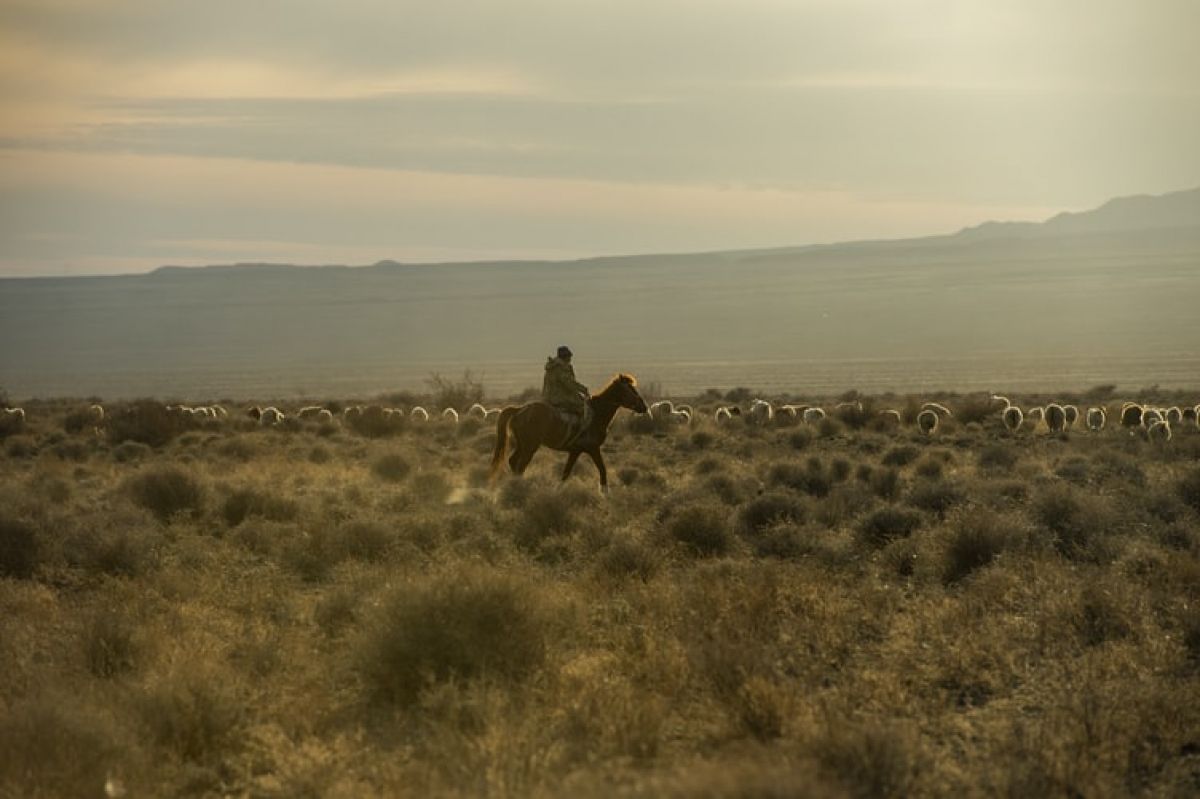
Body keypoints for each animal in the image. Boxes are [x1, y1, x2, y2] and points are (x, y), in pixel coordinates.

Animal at [489, 374, 648, 491]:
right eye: (630, 390)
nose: (644, 406)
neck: (597, 414)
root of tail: (520, 410)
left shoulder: (575, 451)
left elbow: (566, 473)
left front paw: (558, 490)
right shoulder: (593, 449)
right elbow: (602, 469)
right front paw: (605, 493)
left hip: (522, 444)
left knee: (513, 462)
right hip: (530, 446)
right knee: (520, 466)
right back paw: (520, 487)